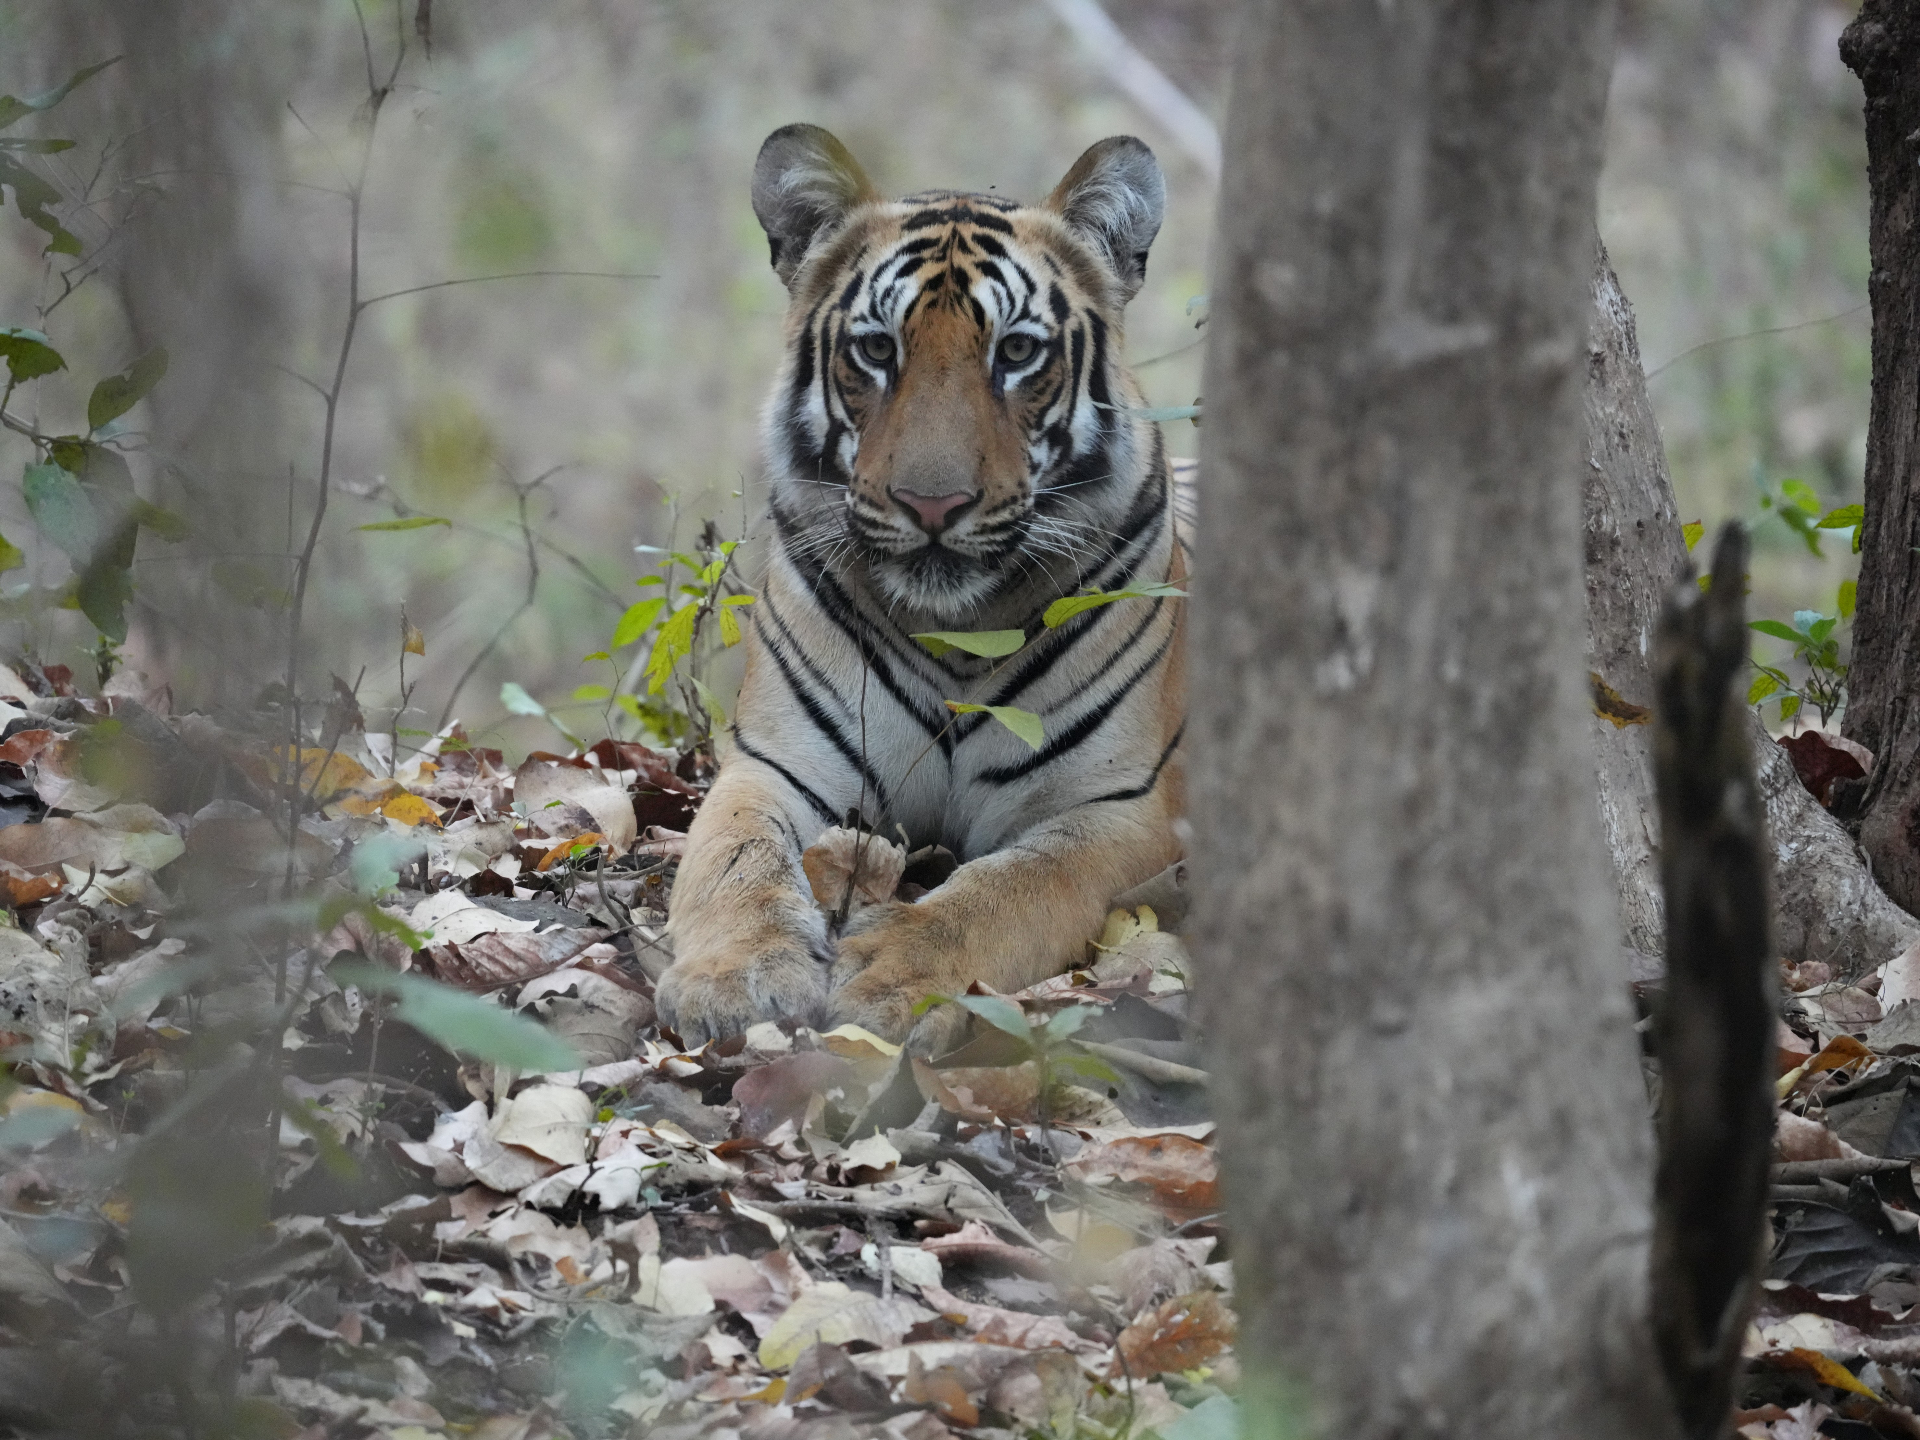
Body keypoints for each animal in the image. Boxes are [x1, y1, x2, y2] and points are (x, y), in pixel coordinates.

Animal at [656, 123, 1187, 1052]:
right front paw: (736, 977)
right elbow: (734, 861)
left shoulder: (1117, 810)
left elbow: (1009, 890)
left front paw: (894, 976)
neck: (959, 631)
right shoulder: (775, 766)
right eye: (877, 349)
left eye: (1016, 352)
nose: (932, 504)